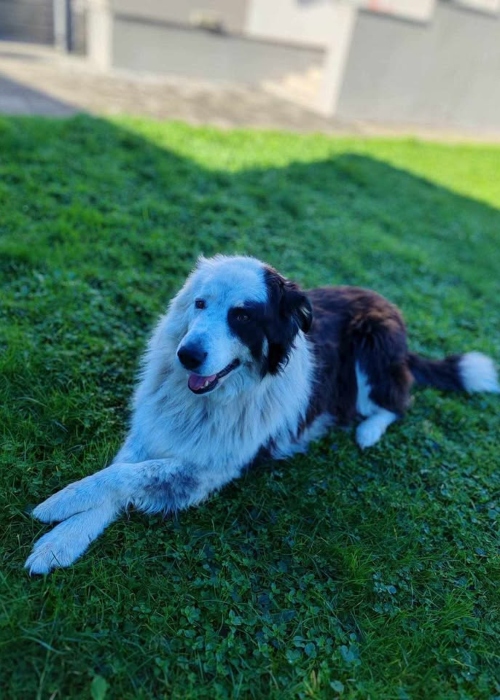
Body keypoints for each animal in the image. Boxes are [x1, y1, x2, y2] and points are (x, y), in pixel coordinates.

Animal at [25, 255, 499, 574]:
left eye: (243, 317)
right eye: (200, 304)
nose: (186, 356)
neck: (212, 401)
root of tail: (389, 306)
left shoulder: (211, 470)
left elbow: (127, 477)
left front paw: (57, 506)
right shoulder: (151, 433)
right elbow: (115, 475)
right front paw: (61, 539)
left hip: (372, 351)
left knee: (399, 401)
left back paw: (367, 433)